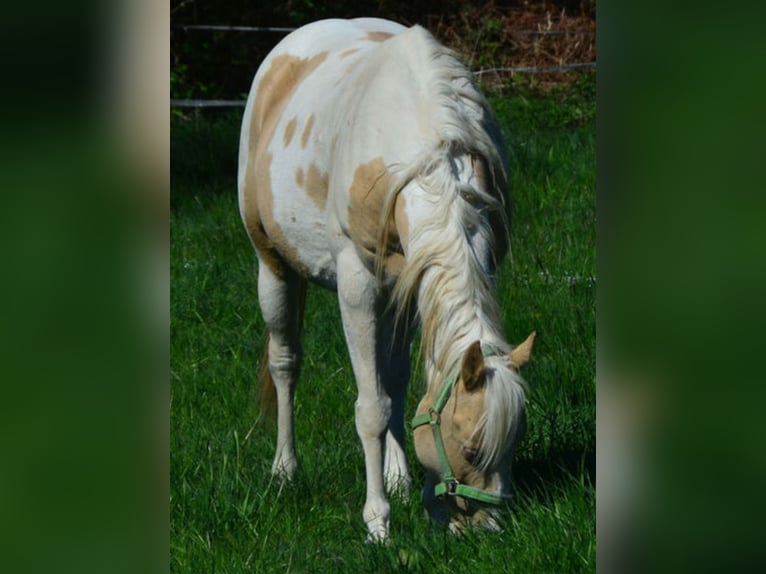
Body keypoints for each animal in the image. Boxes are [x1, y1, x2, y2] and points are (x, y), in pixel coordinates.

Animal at [238, 17, 535, 541]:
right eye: (473, 450)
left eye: (515, 444)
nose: (489, 530)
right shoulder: (358, 289)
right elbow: (371, 407)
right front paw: (378, 521)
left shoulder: (415, 285)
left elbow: (395, 389)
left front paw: (416, 494)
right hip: (271, 264)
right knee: (285, 364)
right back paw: (284, 470)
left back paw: (396, 476)